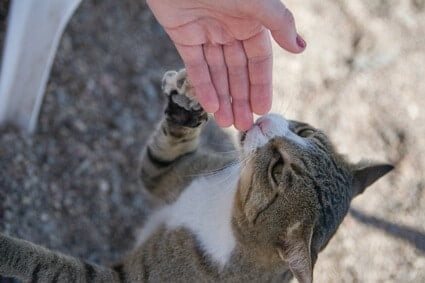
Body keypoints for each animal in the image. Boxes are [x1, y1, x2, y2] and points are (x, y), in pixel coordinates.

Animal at [0, 69, 392, 283]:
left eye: (277, 170)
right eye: (306, 132)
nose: (263, 123)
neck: (227, 205)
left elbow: (49, 267)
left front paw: (7, 249)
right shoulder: (178, 174)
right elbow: (160, 160)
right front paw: (187, 105)